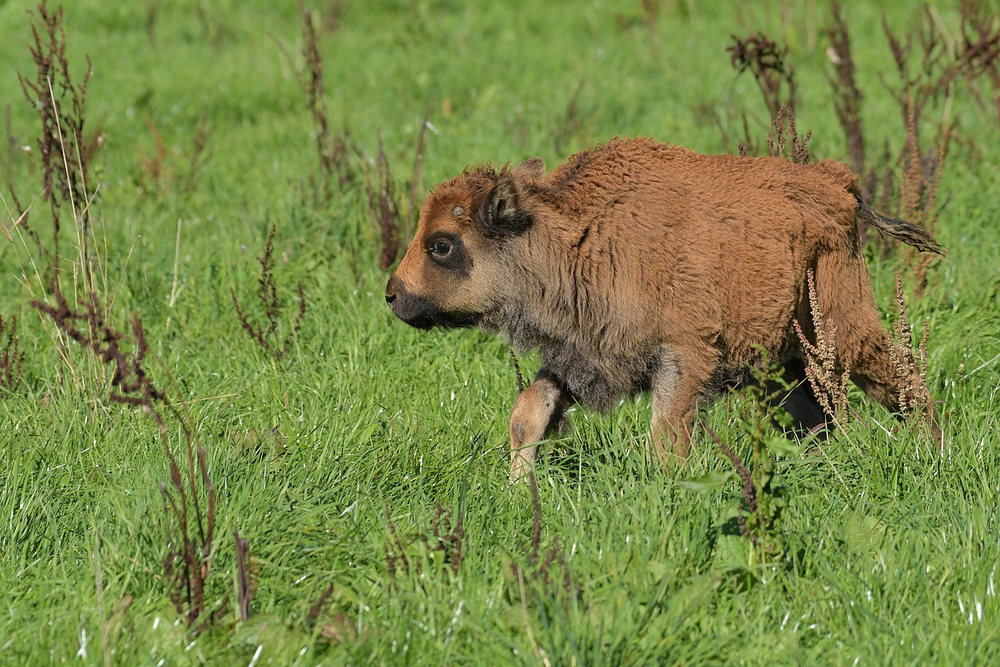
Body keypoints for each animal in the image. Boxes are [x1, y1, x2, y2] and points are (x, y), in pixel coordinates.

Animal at [386, 138, 940, 480]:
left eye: (441, 245)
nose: (392, 294)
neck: (579, 238)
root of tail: (837, 182)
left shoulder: (682, 359)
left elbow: (665, 440)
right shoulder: (582, 356)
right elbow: (529, 411)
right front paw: (518, 489)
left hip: (841, 330)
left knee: (902, 378)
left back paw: (934, 448)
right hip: (786, 362)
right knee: (820, 413)